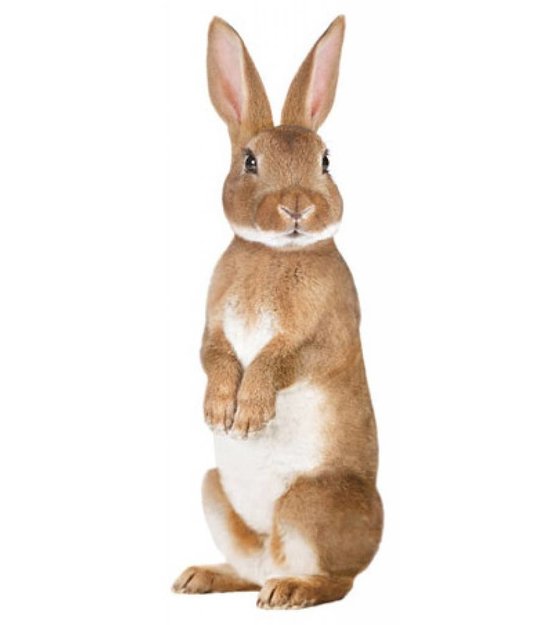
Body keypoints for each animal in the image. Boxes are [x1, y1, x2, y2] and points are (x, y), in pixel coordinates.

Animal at [172, 15, 383, 609]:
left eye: (326, 161)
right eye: (250, 161)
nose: (296, 207)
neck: (274, 253)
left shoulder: (325, 332)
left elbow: (281, 360)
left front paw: (247, 416)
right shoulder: (212, 326)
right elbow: (214, 356)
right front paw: (220, 411)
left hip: (308, 502)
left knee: (336, 580)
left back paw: (290, 591)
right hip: (213, 491)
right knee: (250, 569)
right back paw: (200, 578)